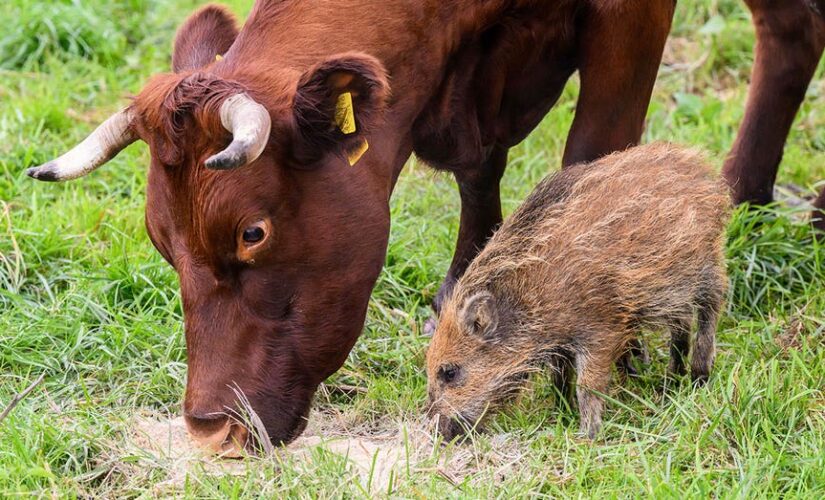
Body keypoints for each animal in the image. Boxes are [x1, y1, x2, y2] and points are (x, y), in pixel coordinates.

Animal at [25, 0, 676, 452]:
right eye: (162, 242)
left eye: (251, 233)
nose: (210, 432)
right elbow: (480, 172)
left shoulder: (629, 23)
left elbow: (595, 158)